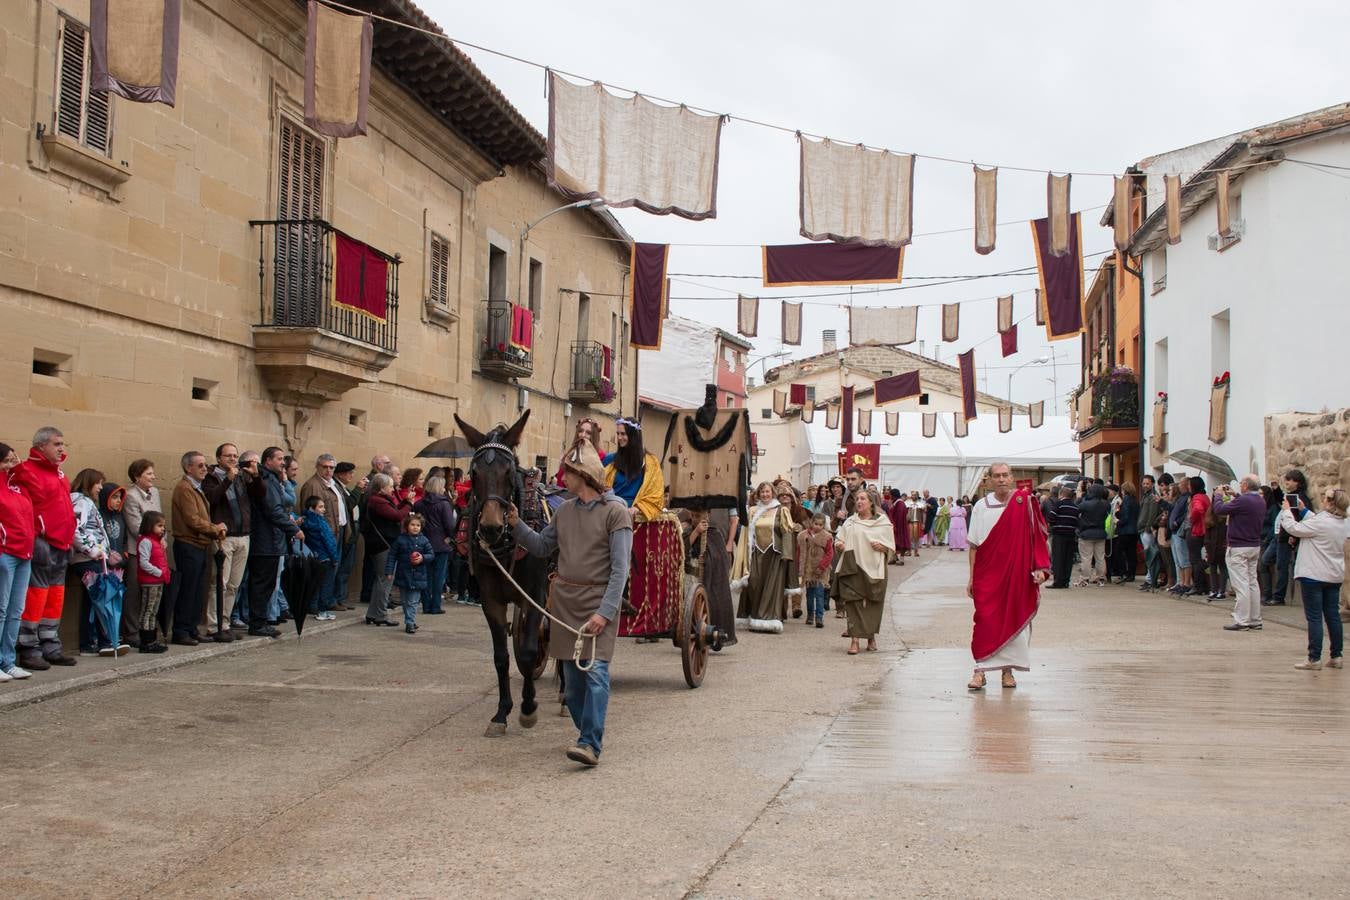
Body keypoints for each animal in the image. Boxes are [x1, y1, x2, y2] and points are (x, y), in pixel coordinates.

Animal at [453, 412, 548, 734]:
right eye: (474, 473)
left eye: (509, 473)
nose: (490, 528)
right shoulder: (490, 600)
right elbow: (501, 657)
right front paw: (501, 711)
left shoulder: (535, 597)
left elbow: (529, 652)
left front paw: (529, 707)